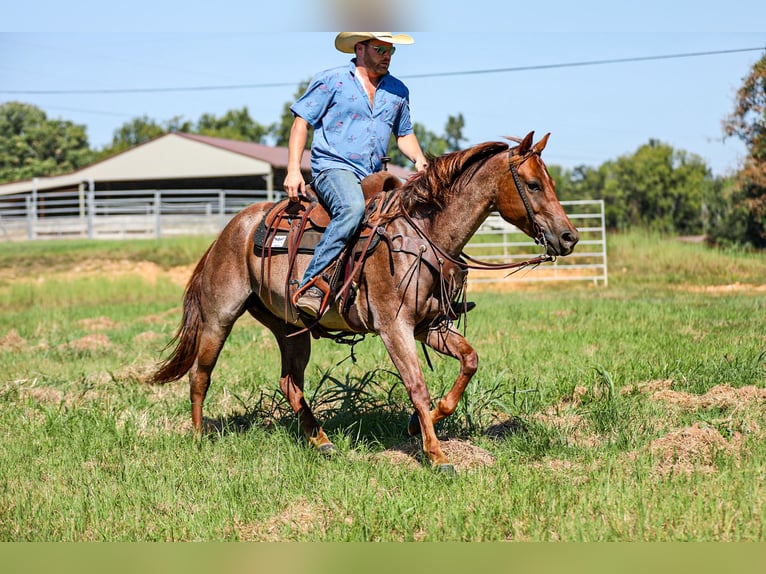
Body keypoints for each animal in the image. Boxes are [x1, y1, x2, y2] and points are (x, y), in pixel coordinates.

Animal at [151, 131, 579, 473]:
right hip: (219, 318)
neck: (422, 234)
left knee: (290, 383)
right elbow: (417, 385)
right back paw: (198, 439)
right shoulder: (395, 328)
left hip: (290, 329)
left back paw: (322, 441)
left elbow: (469, 361)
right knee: (201, 376)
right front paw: (437, 455)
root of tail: (229, 231)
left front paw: (419, 425)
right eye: (533, 184)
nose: (569, 237)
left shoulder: (430, 327)